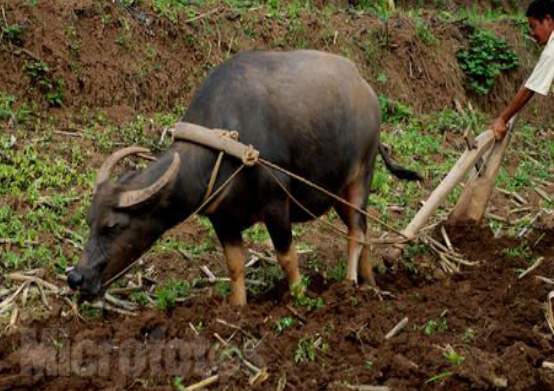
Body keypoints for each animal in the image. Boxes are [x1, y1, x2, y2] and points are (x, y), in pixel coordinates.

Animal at [67, 49, 416, 306]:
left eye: (112, 227)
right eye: (89, 221)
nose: (76, 278)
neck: (225, 144)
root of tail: (365, 88)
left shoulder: (277, 206)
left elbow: (287, 257)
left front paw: (298, 297)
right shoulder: (222, 218)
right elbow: (235, 264)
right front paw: (238, 307)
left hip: (361, 176)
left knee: (356, 232)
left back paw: (348, 283)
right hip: (338, 192)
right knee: (365, 229)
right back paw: (369, 283)